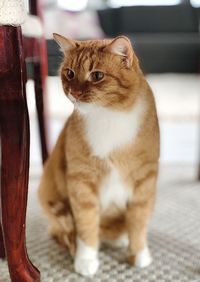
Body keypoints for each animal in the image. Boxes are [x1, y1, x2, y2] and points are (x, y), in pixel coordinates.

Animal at [38, 34, 159, 276]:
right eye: (70, 73)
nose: (74, 93)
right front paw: (86, 259)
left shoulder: (144, 181)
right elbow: (86, 225)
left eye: (97, 76)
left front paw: (138, 253)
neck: (109, 115)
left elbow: (139, 221)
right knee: (65, 232)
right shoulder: (81, 181)